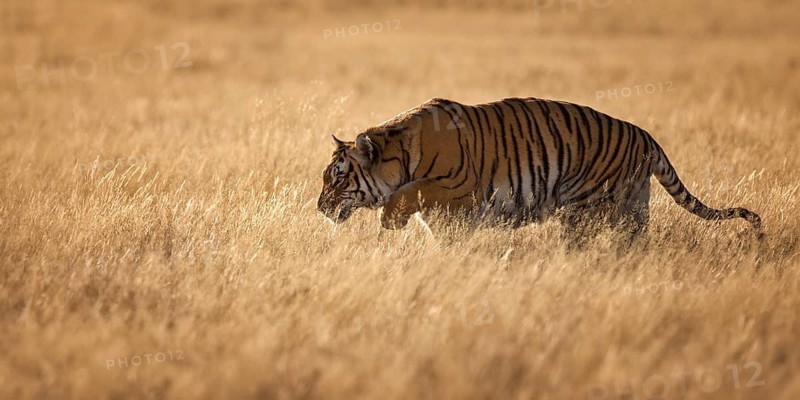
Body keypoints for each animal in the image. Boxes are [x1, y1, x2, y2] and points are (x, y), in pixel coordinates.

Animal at [316, 97, 762, 238]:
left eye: (338, 176)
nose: (319, 208)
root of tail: (647, 137)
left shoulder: (460, 188)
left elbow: (412, 191)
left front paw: (390, 221)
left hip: (586, 204)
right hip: (634, 203)